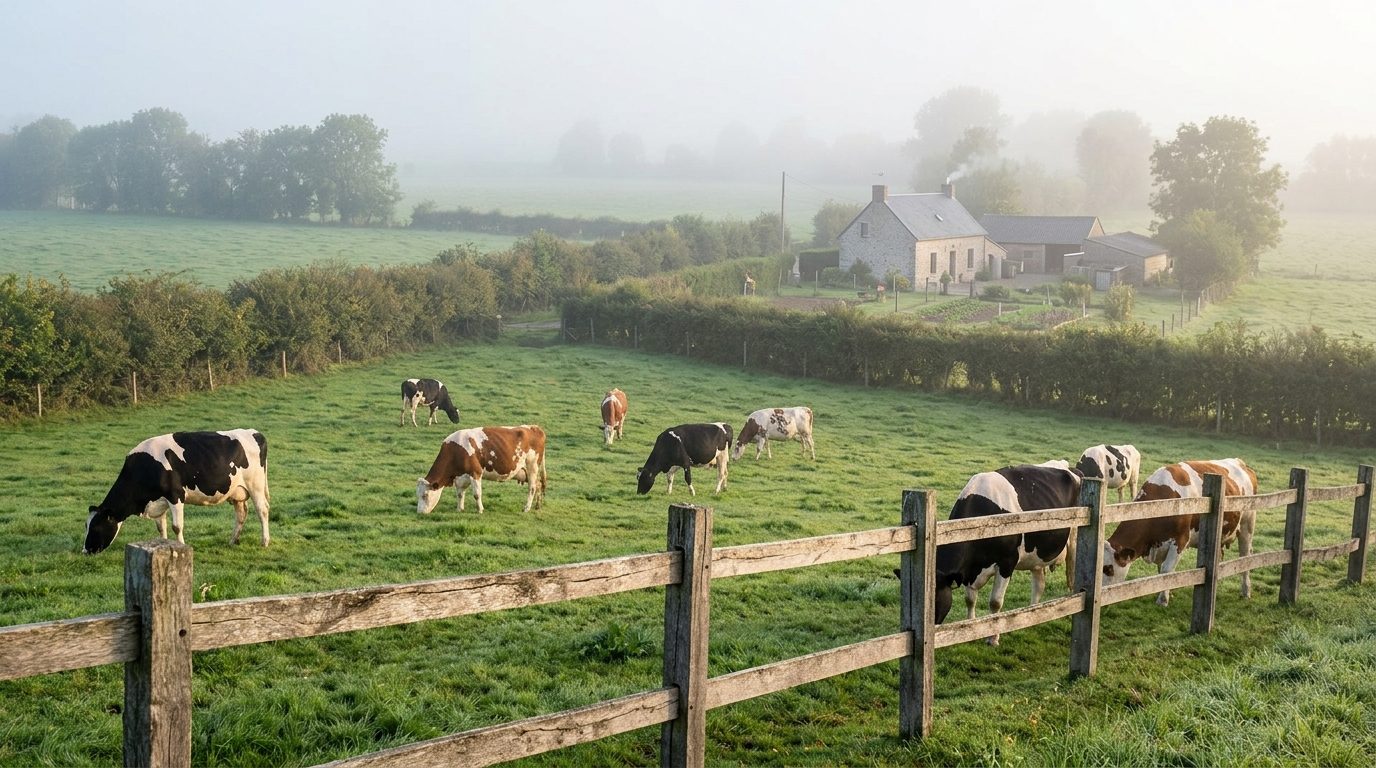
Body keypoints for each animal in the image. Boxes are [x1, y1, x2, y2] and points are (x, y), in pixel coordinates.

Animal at [83, 429, 270, 555]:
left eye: (96, 527)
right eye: (86, 525)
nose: (85, 551)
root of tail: (254, 432)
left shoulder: (176, 496)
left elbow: (176, 526)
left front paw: (180, 546)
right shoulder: (159, 501)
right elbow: (161, 528)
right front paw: (163, 546)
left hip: (256, 486)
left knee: (262, 511)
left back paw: (265, 542)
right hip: (237, 492)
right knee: (241, 514)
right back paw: (232, 541)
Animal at [417, 425, 547, 515]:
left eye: (425, 495)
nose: (420, 513)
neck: (455, 450)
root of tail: (535, 427)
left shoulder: (476, 472)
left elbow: (477, 494)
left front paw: (480, 510)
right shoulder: (460, 477)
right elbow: (460, 494)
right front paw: (459, 509)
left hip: (532, 466)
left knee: (532, 487)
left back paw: (526, 508)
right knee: (539, 485)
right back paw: (537, 506)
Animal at [932, 463, 1083, 645]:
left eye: (936, 601)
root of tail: (1071, 468)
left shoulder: (1007, 562)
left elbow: (995, 602)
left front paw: (993, 638)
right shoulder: (968, 571)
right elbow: (970, 599)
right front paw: (971, 627)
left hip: (1074, 540)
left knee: (1072, 576)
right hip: (1036, 555)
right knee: (1039, 584)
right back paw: (1032, 616)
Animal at [1102, 458, 1259, 606]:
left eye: (1108, 569)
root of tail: (1242, 464)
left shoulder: (1180, 540)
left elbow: (1166, 570)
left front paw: (1163, 600)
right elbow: (1162, 571)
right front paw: (1166, 592)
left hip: (1247, 525)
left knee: (1245, 556)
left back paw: (1246, 591)